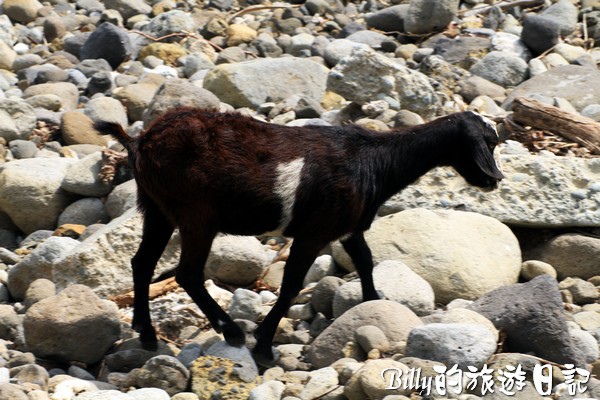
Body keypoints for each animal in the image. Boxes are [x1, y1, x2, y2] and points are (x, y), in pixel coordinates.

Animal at [96, 108, 504, 364]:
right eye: (487, 144)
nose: (495, 180)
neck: (374, 160)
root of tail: (140, 141)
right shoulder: (314, 232)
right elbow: (291, 285)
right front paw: (263, 345)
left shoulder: (348, 228)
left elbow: (365, 261)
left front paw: (373, 304)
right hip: (197, 213)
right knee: (187, 274)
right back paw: (231, 331)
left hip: (156, 206)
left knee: (142, 263)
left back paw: (147, 333)